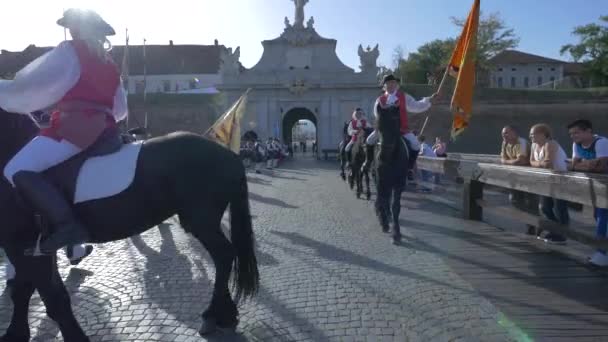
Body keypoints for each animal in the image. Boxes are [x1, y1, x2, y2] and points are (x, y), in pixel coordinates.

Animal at [0, 108, 258, 340]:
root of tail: (229, 154)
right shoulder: (26, 248)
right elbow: (23, 291)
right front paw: (15, 333)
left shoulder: (23, 245)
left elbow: (52, 298)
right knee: (224, 256)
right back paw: (225, 316)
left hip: (201, 221)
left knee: (224, 255)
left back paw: (213, 315)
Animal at [364, 103, 410, 244]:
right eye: (378, 125)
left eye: (396, 123)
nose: (383, 156)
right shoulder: (381, 180)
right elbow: (383, 199)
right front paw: (384, 222)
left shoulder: (399, 183)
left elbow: (395, 206)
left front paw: (396, 233)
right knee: (381, 197)